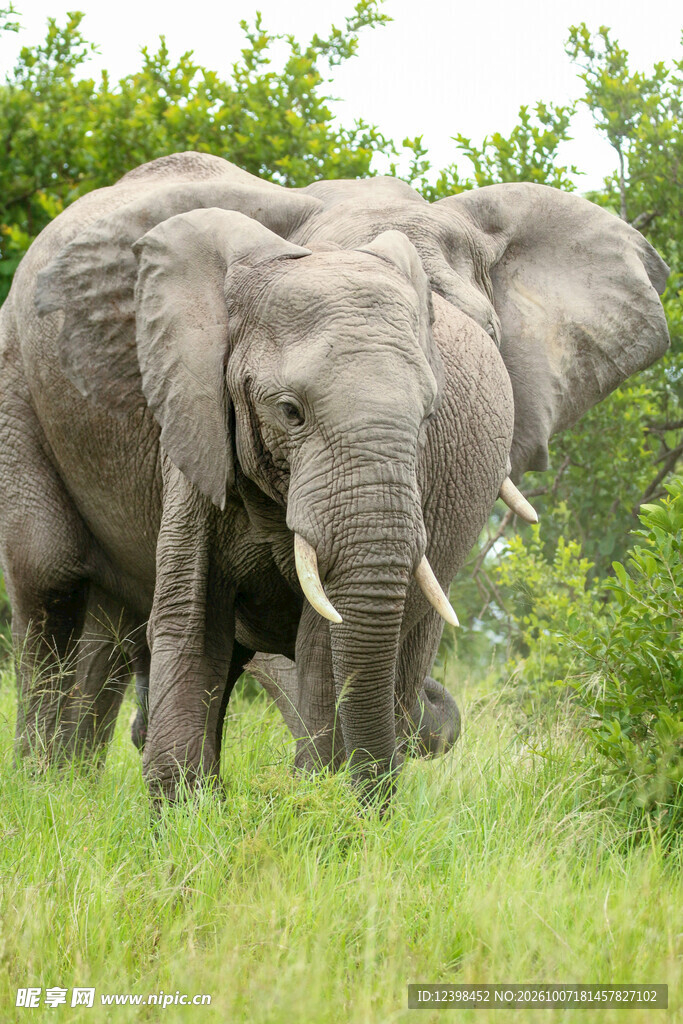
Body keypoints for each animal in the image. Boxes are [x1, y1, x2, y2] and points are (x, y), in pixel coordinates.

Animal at [0, 151, 669, 804]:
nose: (438, 701)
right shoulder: (196, 410)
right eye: (289, 411)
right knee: (50, 581)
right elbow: (194, 611)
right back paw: (45, 792)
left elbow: (327, 636)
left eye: (489, 342)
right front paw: (191, 811)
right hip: (16, 384)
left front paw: (316, 804)